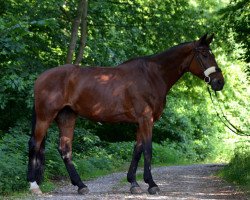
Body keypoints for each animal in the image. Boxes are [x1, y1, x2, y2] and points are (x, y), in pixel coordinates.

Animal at [27, 33, 225, 195]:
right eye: (205, 54)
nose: (219, 82)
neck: (152, 75)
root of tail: (40, 78)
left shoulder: (140, 122)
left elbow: (137, 150)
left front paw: (134, 183)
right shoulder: (146, 120)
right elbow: (148, 150)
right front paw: (151, 184)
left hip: (67, 117)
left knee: (65, 149)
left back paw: (81, 186)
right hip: (45, 117)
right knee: (34, 144)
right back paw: (34, 186)